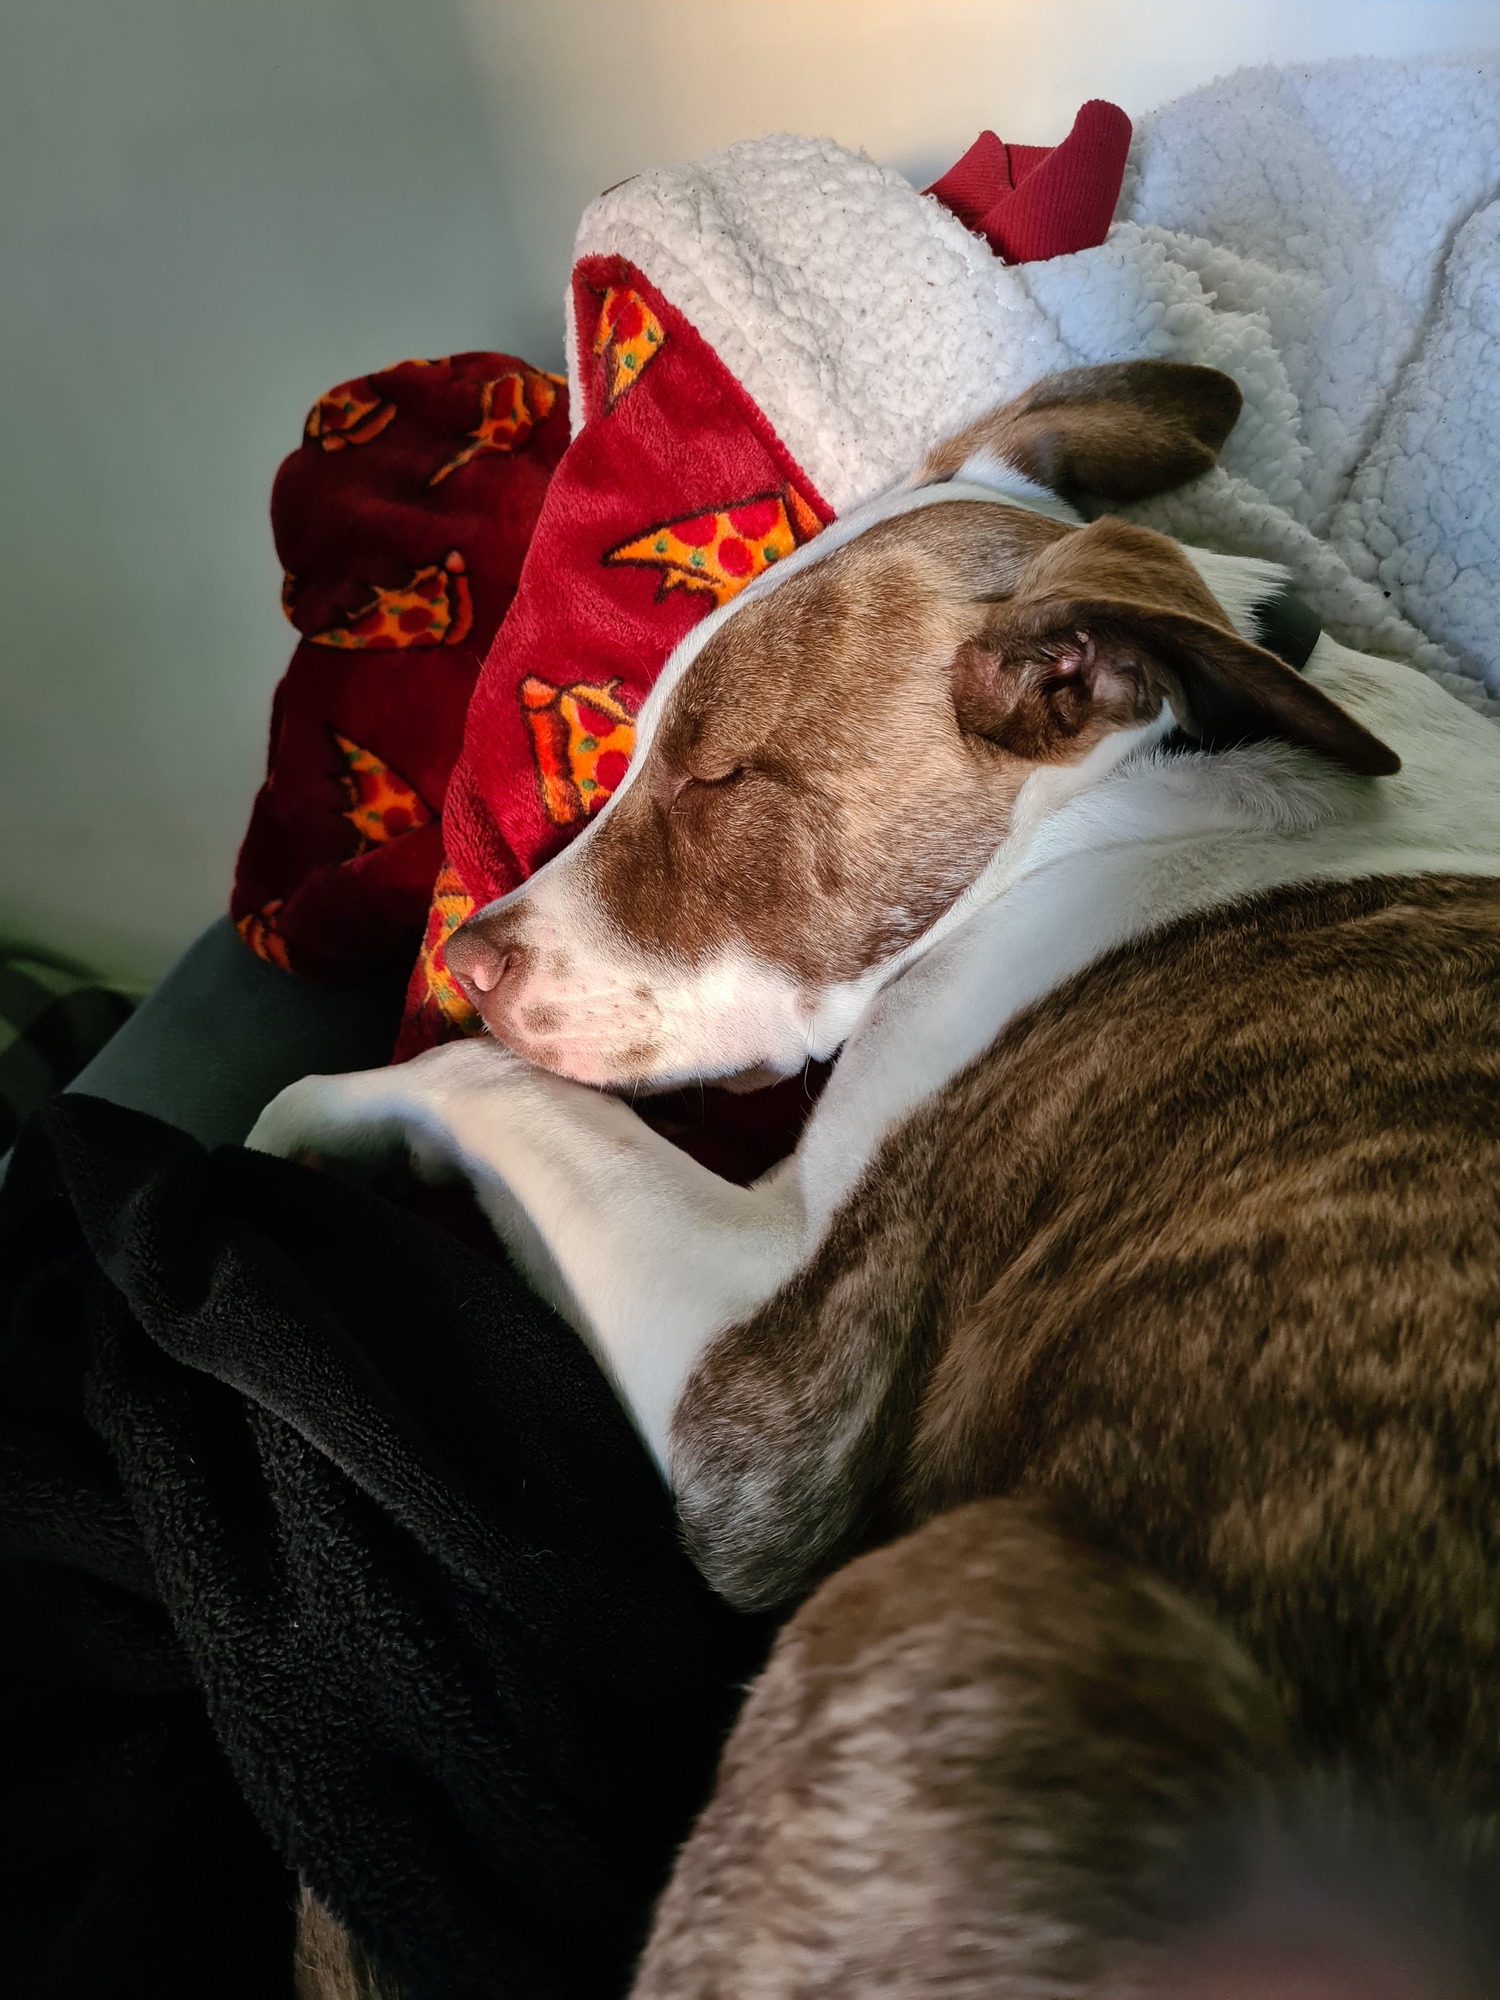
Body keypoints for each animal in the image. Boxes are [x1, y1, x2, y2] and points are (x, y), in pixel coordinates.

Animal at [258, 364, 1500, 2000]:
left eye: (717, 776)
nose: (463, 957)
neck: (1148, 782)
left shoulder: (764, 1412)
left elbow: (494, 1087)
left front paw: (314, 1110)